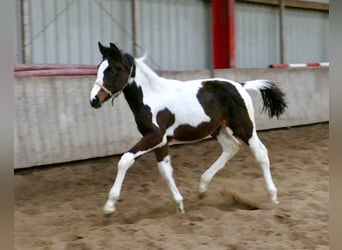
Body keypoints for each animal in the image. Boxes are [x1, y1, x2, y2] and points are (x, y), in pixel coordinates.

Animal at [89, 42, 286, 215]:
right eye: (98, 67)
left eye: (112, 70)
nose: (94, 100)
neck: (151, 96)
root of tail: (241, 85)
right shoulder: (161, 141)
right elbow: (165, 170)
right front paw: (180, 205)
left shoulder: (154, 136)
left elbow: (125, 160)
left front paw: (109, 206)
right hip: (218, 128)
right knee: (231, 147)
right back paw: (202, 187)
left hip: (244, 127)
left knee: (260, 153)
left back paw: (273, 197)